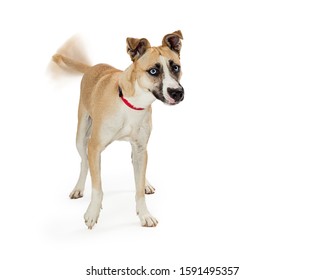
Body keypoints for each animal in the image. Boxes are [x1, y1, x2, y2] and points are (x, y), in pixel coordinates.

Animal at [50, 30, 182, 229]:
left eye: (176, 68)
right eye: (153, 71)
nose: (177, 93)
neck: (133, 104)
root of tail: (92, 67)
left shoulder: (141, 147)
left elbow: (138, 188)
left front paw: (144, 214)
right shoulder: (94, 147)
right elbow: (97, 187)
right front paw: (92, 212)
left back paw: (145, 182)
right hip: (81, 134)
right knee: (84, 162)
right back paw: (78, 188)